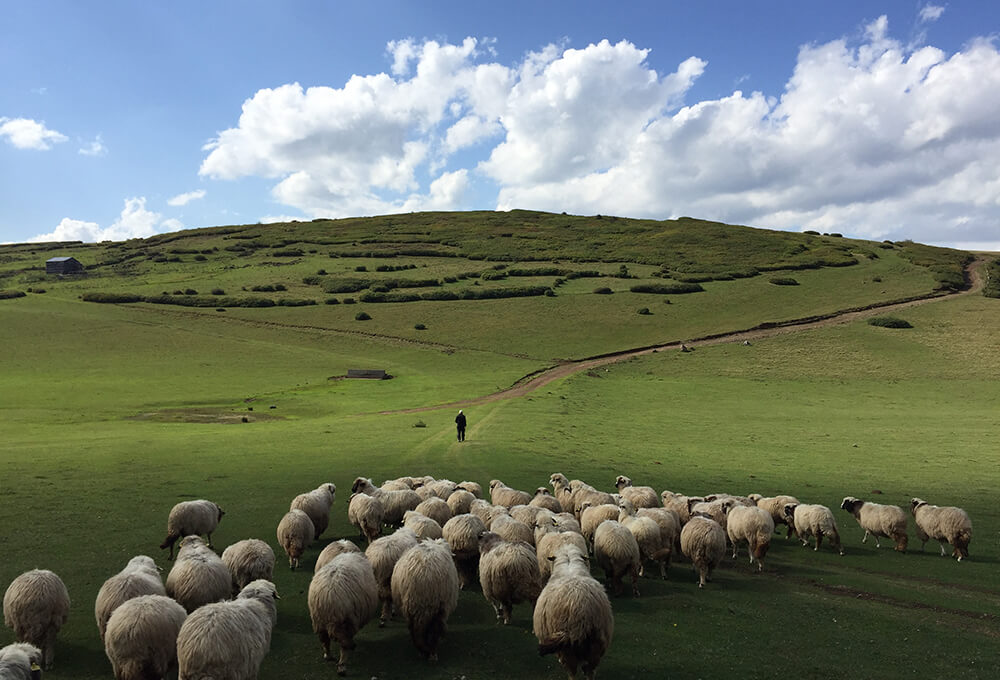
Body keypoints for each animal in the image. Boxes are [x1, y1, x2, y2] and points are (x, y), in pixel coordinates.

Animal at [533, 543, 614, 680]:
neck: (569, 565)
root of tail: (581, 612)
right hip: (598, 643)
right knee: (589, 670)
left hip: (567, 648)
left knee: (572, 671)